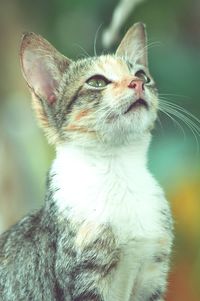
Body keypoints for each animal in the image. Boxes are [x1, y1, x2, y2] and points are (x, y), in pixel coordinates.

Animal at [0, 23, 173, 300]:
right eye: (97, 82)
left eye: (142, 75)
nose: (137, 83)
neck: (117, 171)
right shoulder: (84, 281)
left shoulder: (151, 278)